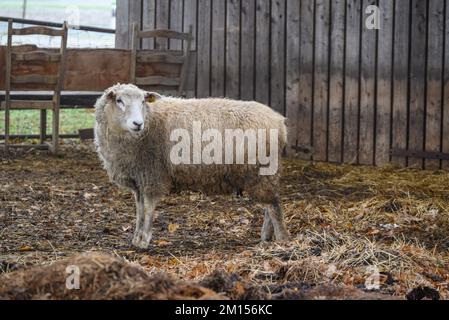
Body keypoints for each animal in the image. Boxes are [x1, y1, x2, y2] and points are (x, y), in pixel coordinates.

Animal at [95, 84, 290, 249]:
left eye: (143, 101)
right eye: (119, 100)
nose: (138, 124)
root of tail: (280, 121)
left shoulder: (152, 175)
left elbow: (149, 209)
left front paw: (144, 240)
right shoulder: (138, 180)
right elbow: (139, 210)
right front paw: (136, 238)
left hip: (261, 169)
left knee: (273, 205)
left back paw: (281, 238)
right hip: (262, 172)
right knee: (269, 205)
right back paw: (266, 237)